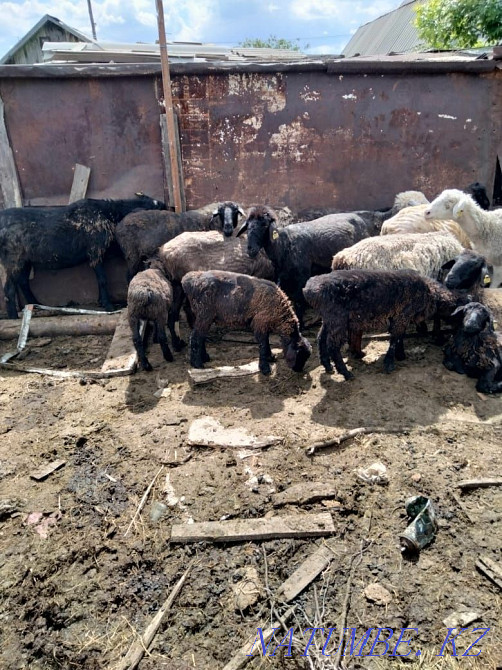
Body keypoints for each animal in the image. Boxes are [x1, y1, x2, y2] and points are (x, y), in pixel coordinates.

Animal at [0, 194, 165, 319]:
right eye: (155, 211)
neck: (109, 215)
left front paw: (102, 302)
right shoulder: (95, 252)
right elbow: (102, 280)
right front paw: (108, 306)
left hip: (24, 261)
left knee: (23, 282)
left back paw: (37, 306)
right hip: (13, 260)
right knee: (9, 288)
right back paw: (14, 316)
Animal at [115, 201, 245, 281]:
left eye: (235, 212)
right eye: (221, 213)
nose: (228, 228)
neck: (208, 221)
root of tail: (119, 225)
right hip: (131, 255)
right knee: (129, 275)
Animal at [181, 270, 312, 375]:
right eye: (299, 355)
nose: (298, 370)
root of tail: (187, 280)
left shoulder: (264, 324)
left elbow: (266, 341)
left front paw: (270, 357)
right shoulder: (260, 322)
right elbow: (263, 344)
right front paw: (265, 369)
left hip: (202, 316)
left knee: (200, 336)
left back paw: (204, 358)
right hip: (204, 314)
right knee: (195, 337)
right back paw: (197, 364)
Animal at [236, 204, 385, 326]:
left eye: (264, 225)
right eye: (248, 225)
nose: (250, 249)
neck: (284, 244)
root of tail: (361, 219)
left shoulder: (302, 276)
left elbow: (299, 301)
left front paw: (300, 325)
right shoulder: (281, 275)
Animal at [302, 250, 489, 379]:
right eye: (463, 311)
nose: (469, 328)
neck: (430, 293)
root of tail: (309, 289)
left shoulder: (400, 318)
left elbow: (400, 337)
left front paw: (401, 355)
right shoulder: (402, 316)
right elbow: (394, 339)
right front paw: (390, 363)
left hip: (329, 318)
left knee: (320, 338)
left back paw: (327, 366)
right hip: (337, 318)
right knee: (333, 346)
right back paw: (346, 374)